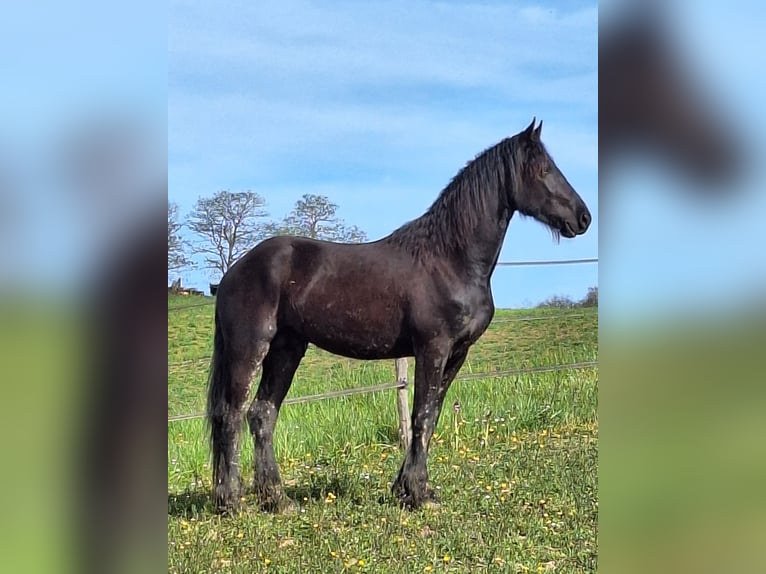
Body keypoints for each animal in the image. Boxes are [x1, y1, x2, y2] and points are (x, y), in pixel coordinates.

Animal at [206, 120, 592, 512]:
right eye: (542, 169)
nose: (583, 218)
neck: (449, 259)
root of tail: (233, 272)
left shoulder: (457, 353)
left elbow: (433, 416)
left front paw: (407, 488)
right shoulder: (432, 348)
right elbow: (421, 416)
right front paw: (419, 494)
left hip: (286, 350)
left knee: (262, 413)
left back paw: (277, 499)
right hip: (249, 348)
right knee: (231, 415)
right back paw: (232, 501)